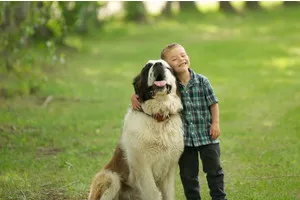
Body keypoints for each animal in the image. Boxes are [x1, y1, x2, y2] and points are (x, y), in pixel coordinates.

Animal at [88, 59, 184, 200]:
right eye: (147, 67)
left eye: (167, 67)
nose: (158, 65)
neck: (158, 117)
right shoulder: (142, 166)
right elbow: (152, 192)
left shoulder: (170, 167)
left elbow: (169, 193)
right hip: (111, 177)